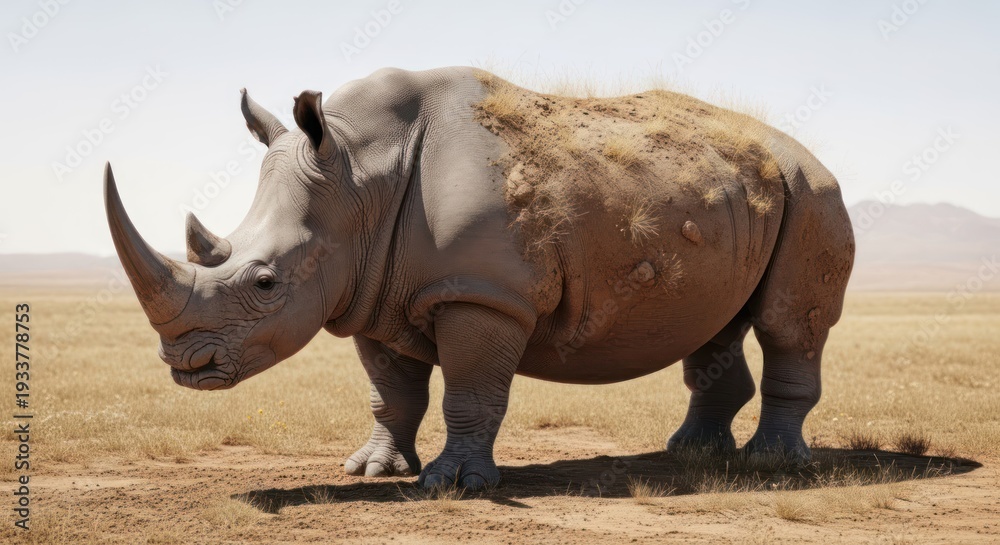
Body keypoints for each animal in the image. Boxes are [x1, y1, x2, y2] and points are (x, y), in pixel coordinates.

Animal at [104, 67, 854, 490]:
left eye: (264, 283)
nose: (184, 364)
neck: (360, 175)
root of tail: (803, 153)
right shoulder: (371, 289)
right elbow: (391, 393)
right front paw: (372, 470)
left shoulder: (483, 294)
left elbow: (468, 391)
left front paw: (454, 483)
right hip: (730, 195)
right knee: (714, 324)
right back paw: (691, 454)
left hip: (813, 191)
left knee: (789, 324)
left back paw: (771, 466)